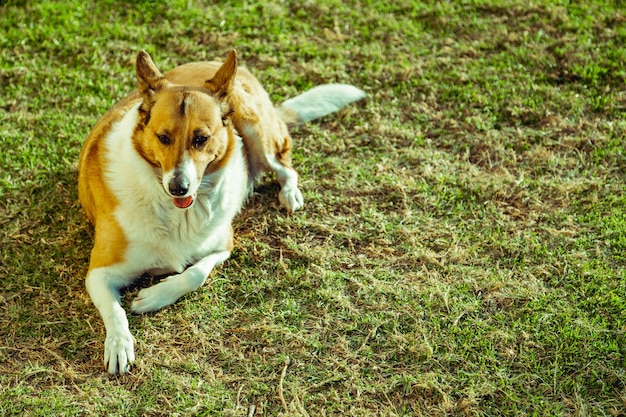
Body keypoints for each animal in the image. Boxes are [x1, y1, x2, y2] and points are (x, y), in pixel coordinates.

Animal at [77, 49, 366, 374]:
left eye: (200, 138)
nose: (179, 187)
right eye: (163, 138)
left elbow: (195, 273)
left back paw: (290, 194)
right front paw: (119, 344)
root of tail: (217, 64)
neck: (177, 213)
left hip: (257, 131)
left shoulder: (223, 245)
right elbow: (115, 311)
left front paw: (154, 296)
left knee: (286, 166)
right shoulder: (99, 273)